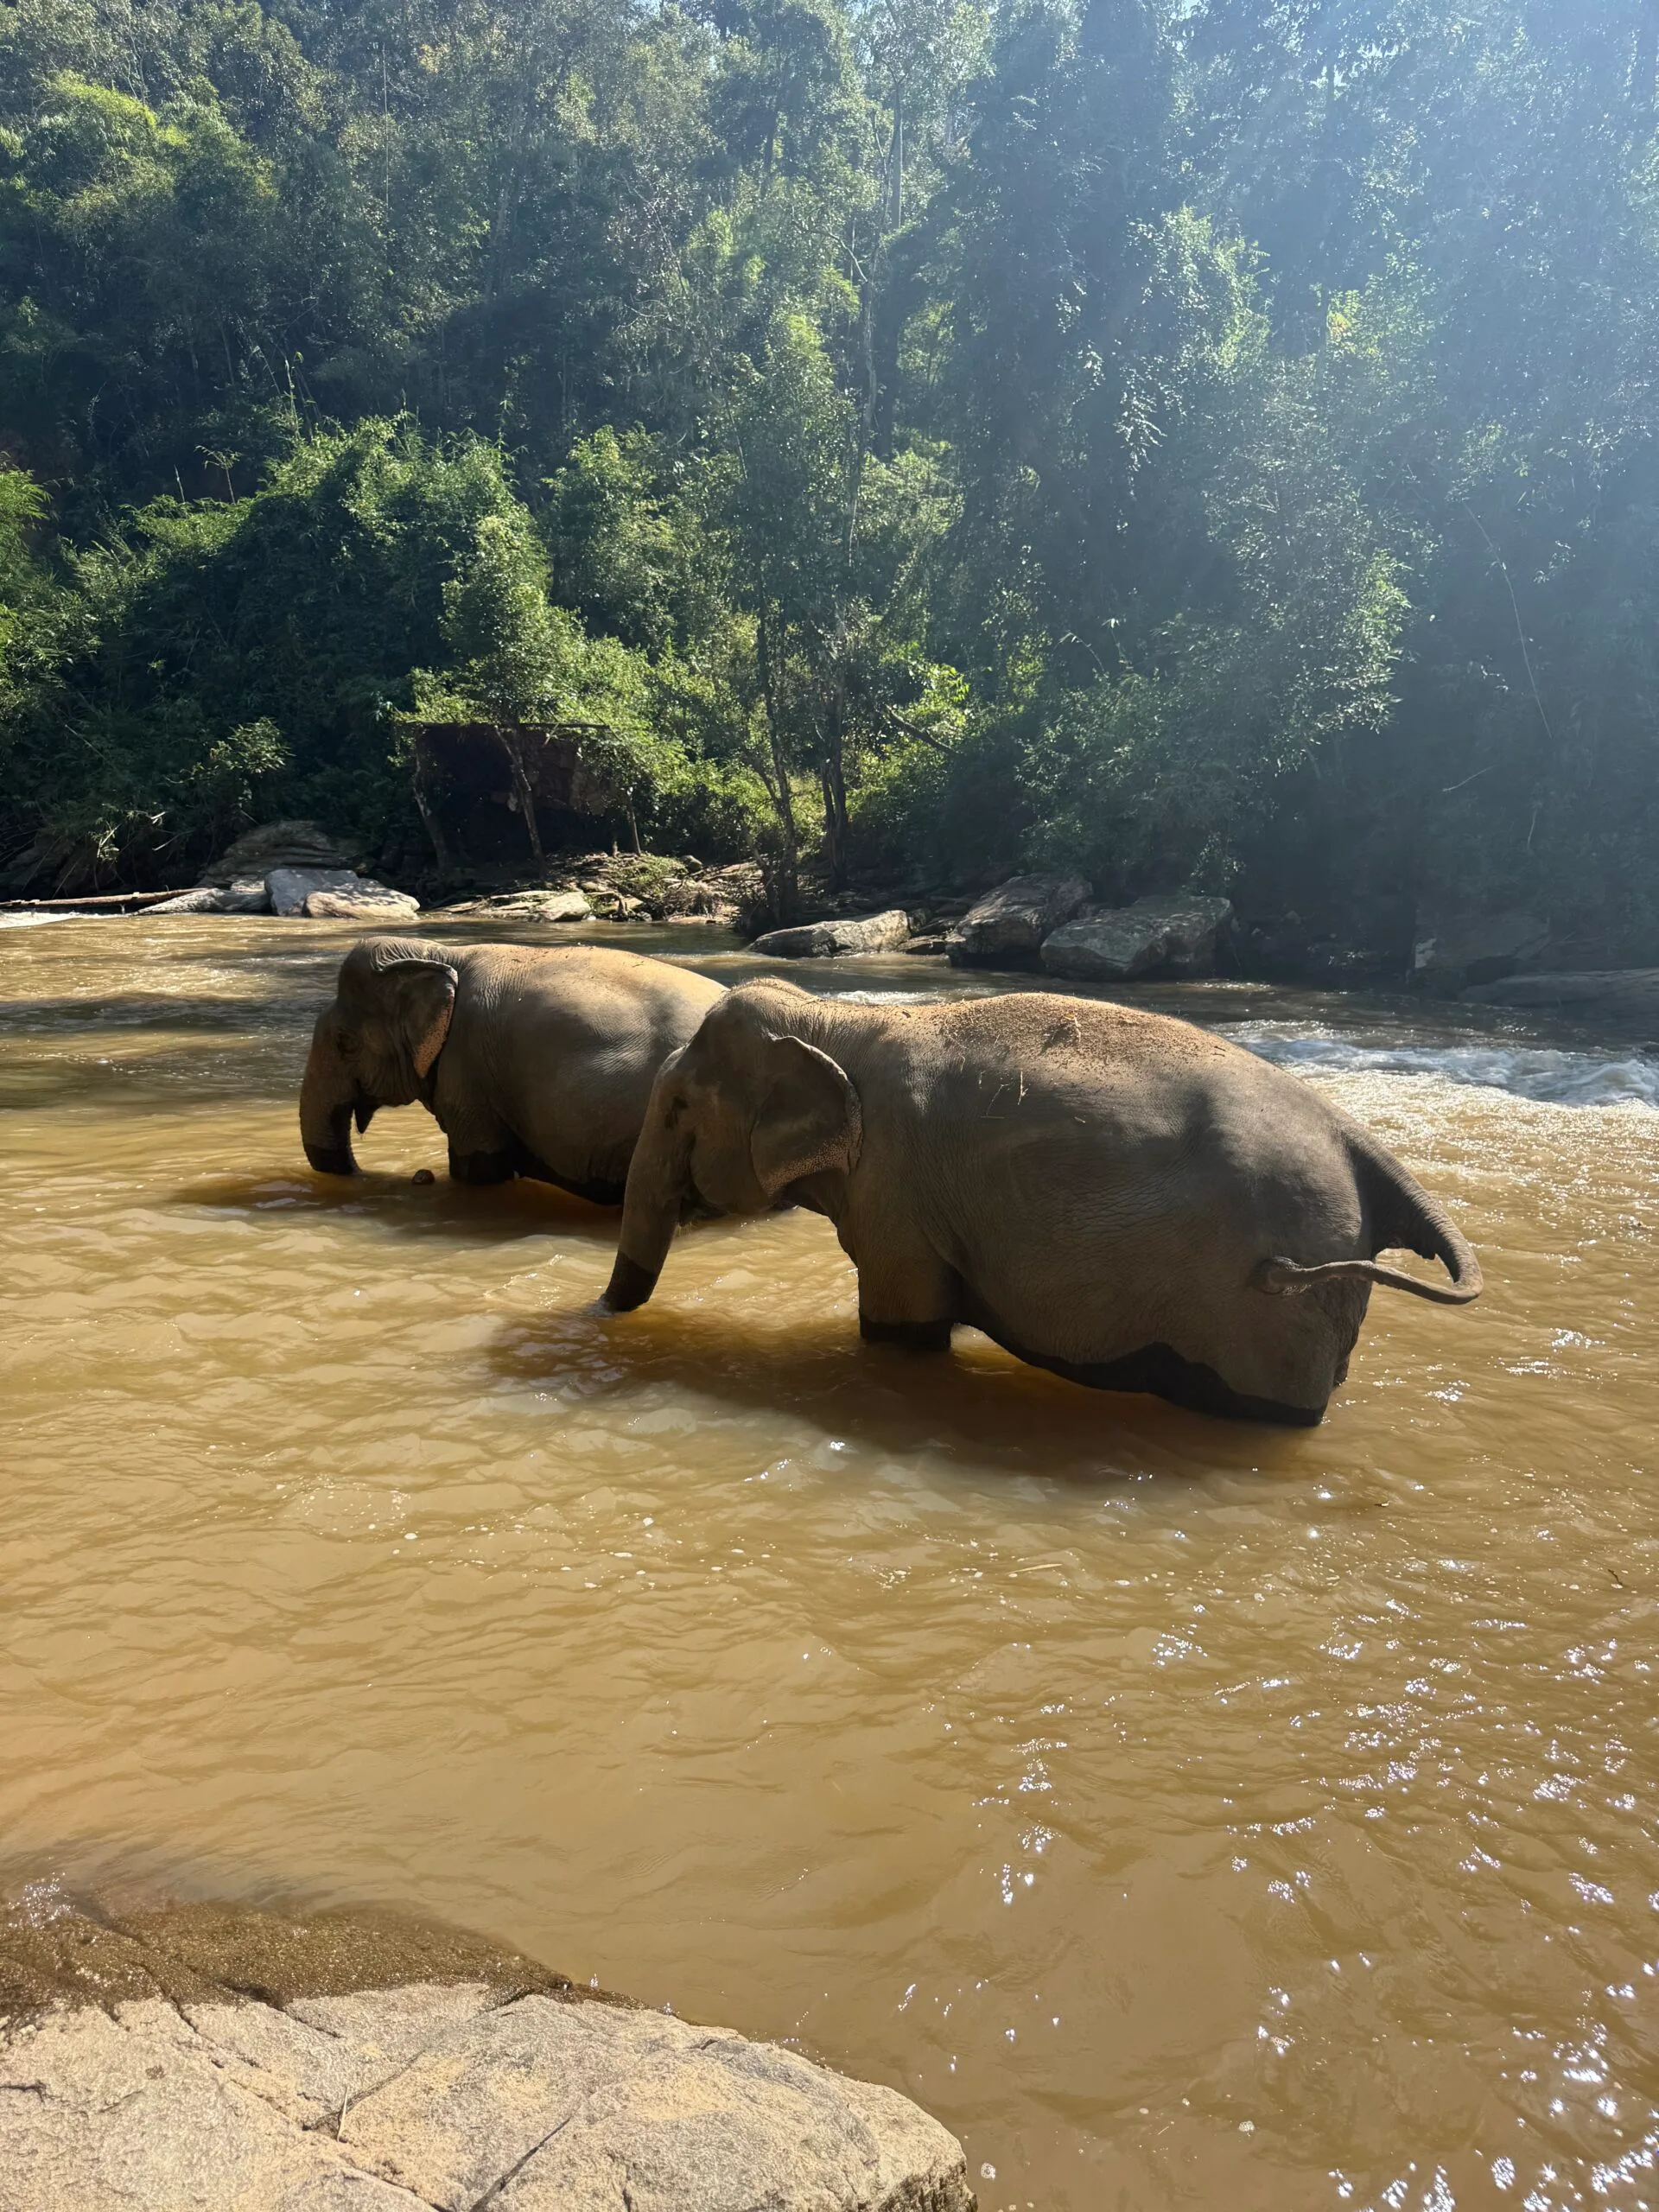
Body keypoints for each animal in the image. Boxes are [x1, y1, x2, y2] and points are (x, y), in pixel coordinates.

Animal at [598, 979, 1482, 1424]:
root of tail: (1357, 1140)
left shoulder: (895, 1195)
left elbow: (901, 1330)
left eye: (677, 1109)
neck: (838, 1019)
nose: (598, 1318)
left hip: (1270, 1311)